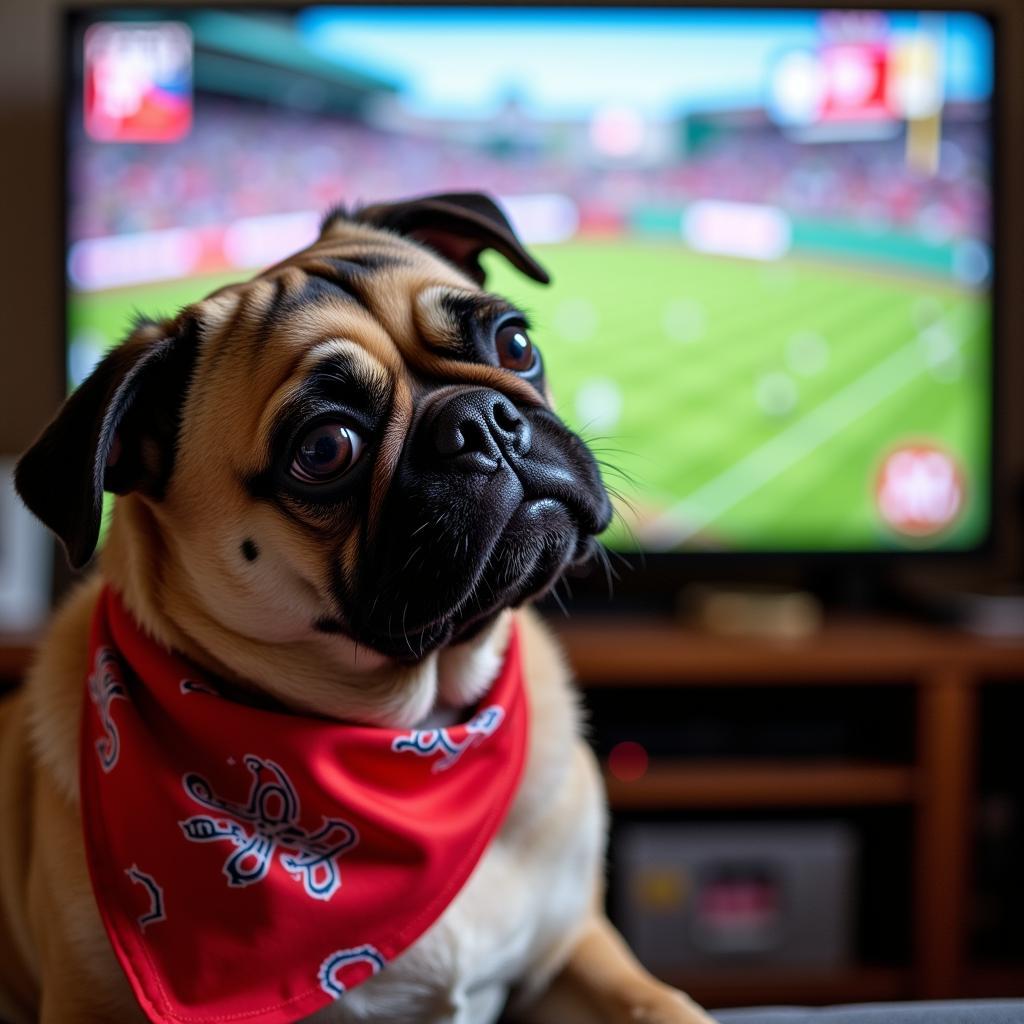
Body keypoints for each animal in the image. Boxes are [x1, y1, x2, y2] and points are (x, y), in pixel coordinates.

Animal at [0, 193, 712, 1024]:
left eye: (515, 343)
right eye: (325, 449)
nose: (482, 419)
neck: (420, 727)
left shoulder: (570, 949)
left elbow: (658, 1004)